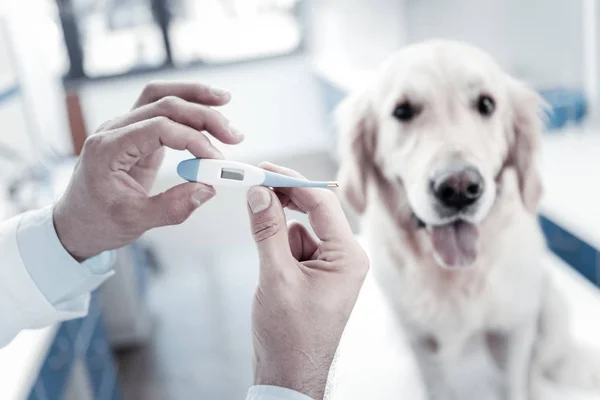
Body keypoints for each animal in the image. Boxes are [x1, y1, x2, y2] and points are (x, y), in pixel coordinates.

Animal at [332, 40, 600, 400]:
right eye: (402, 111)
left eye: (486, 104)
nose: (459, 189)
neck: (455, 275)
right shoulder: (419, 339)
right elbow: (436, 385)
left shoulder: (514, 328)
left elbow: (515, 382)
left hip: (550, 308)